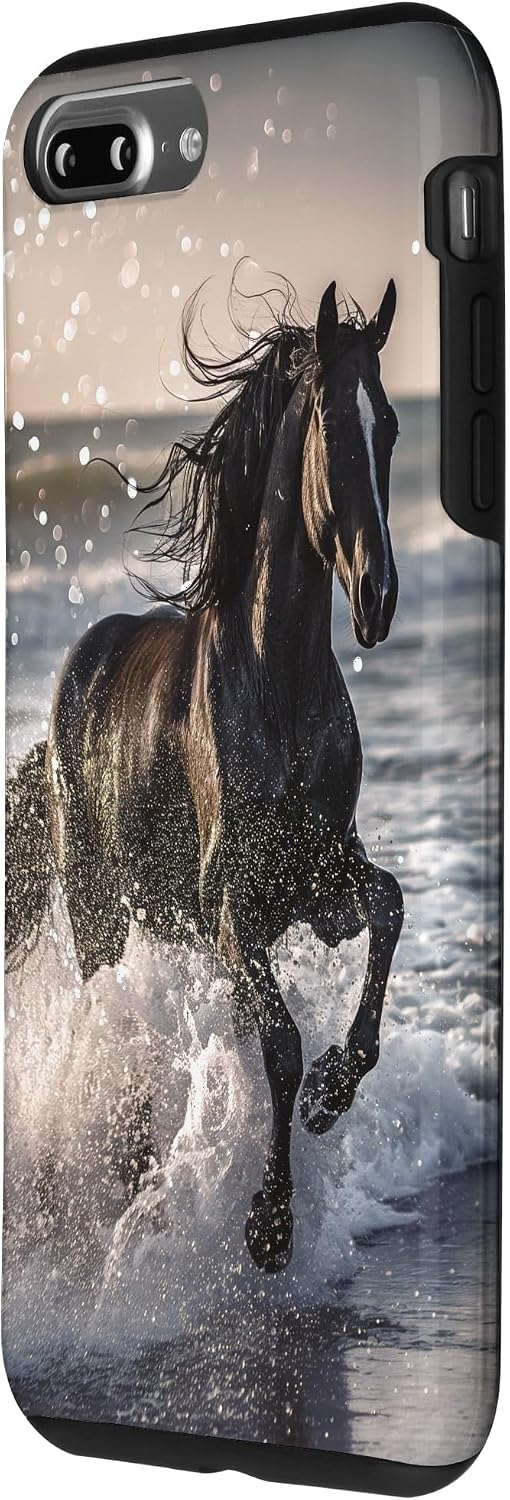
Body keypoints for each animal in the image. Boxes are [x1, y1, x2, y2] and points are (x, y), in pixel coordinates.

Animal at [6, 276, 404, 1273]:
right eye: (332, 429)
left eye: (389, 428)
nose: (378, 599)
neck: (279, 684)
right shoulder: (234, 907)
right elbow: (278, 1042)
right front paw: (268, 1223)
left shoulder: (321, 882)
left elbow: (387, 907)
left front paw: (334, 1094)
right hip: (99, 915)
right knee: (110, 1019)